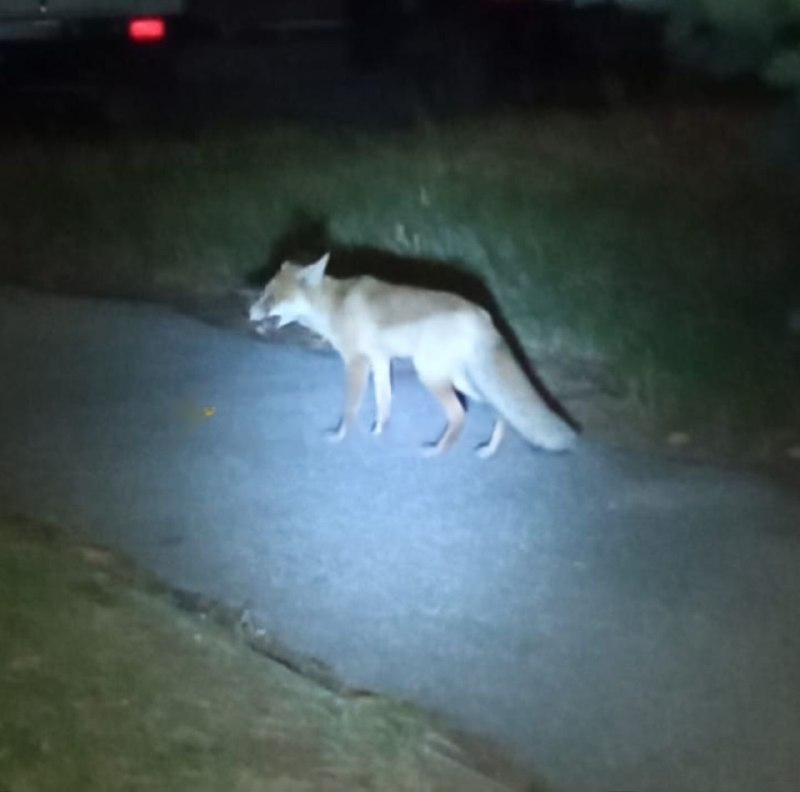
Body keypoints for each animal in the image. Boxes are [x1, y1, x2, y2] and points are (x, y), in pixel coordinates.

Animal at [248, 251, 576, 454]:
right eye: (264, 293)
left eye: (271, 299)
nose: (249, 312)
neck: (334, 306)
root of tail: (483, 313)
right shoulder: (380, 360)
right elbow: (383, 402)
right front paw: (379, 432)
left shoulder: (357, 362)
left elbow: (350, 408)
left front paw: (341, 435)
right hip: (459, 380)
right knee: (502, 412)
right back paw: (488, 450)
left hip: (430, 375)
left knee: (460, 416)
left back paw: (438, 452)